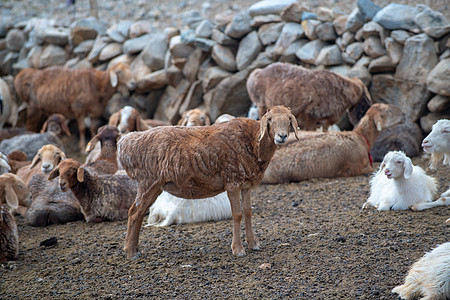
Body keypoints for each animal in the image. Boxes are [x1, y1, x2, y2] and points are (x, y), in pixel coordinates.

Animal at [118, 105, 298, 258]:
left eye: (289, 119)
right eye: (270, 120)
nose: (282, 136)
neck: (253, 142)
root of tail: (126, 143)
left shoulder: (246, 185)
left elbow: (248, 212)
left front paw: (253, 244)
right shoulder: (232, 182)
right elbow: (237, 214)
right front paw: (238, 249)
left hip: (155, 186)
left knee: (139, 213)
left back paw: (134, 249)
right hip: (147, 181)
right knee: (134, 213)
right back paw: (130, 252)